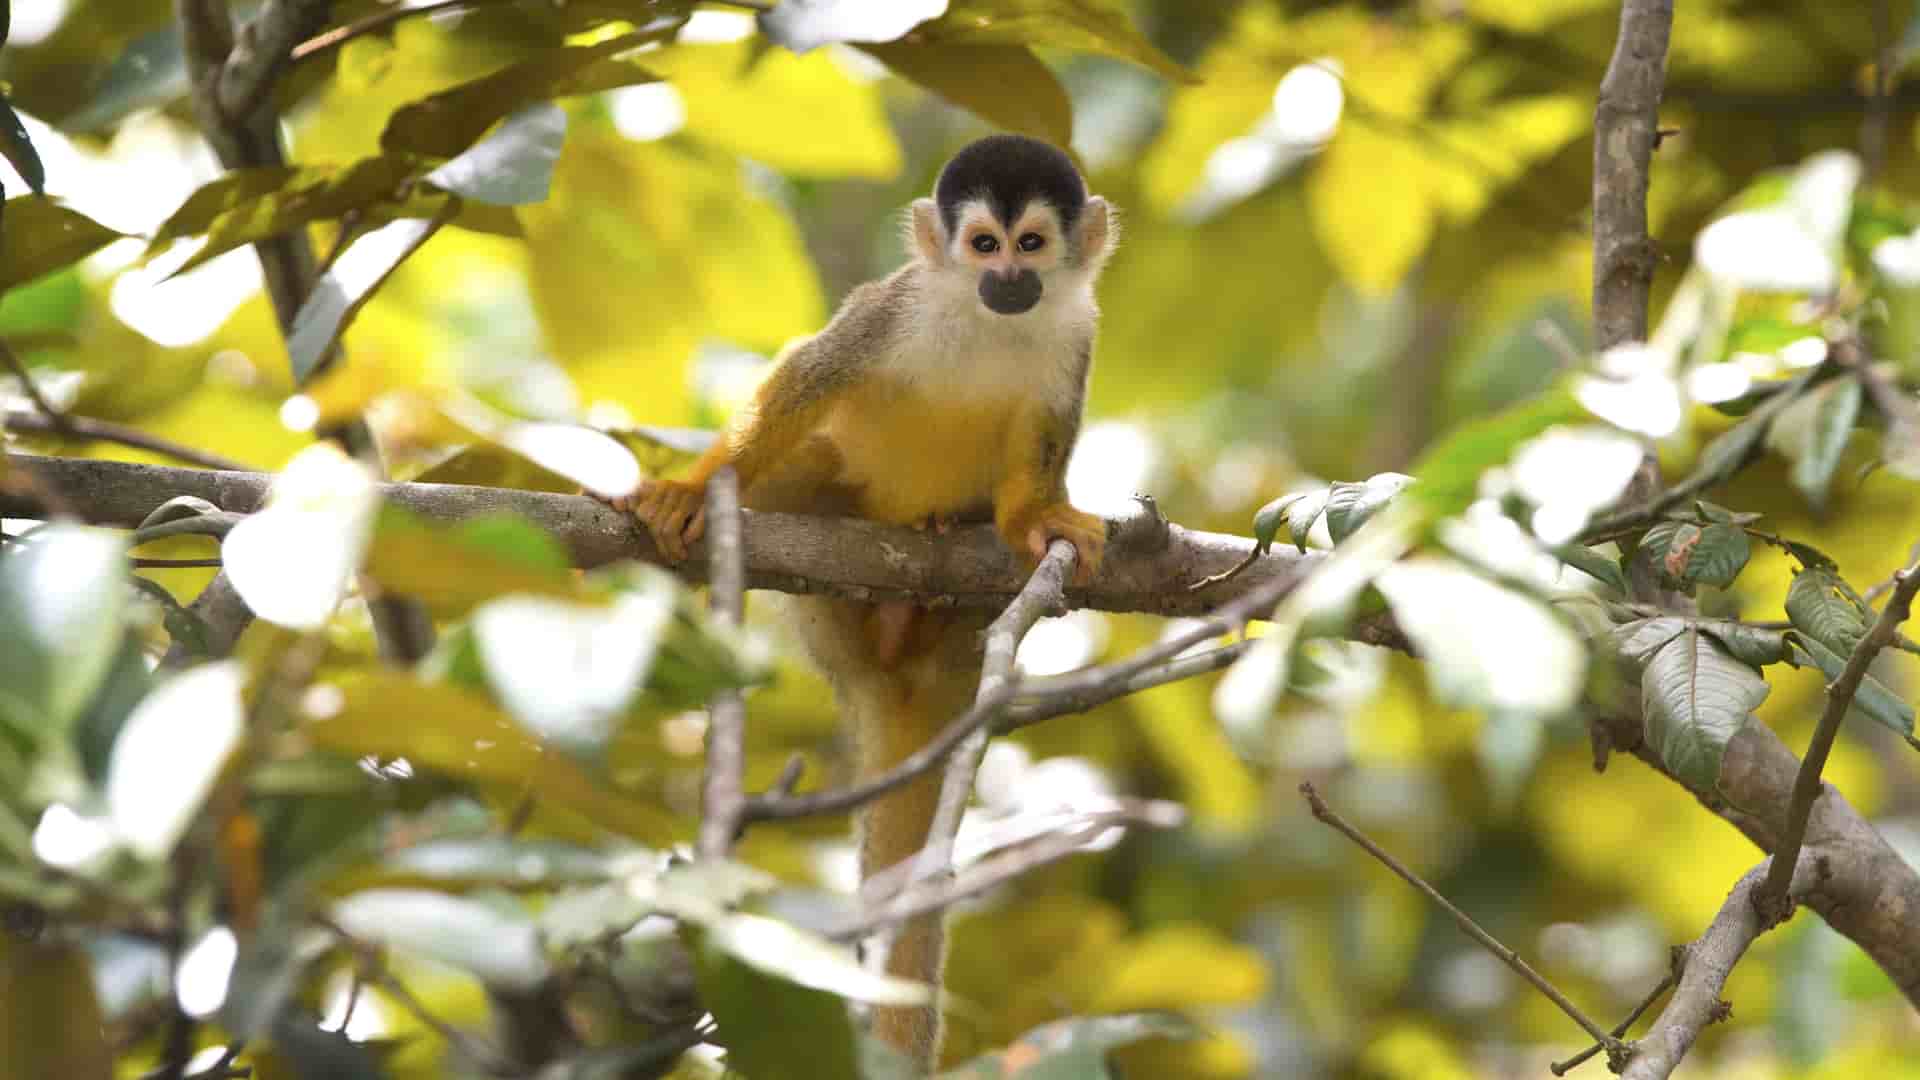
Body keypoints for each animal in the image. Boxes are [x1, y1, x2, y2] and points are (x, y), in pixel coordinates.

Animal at [608, 134, 1116, 1069]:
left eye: (1031, 244)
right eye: (983, 245)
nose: (1009, 280)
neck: (989, 322)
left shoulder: (1076, 335)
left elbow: (1043, 445)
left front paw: (1036, 521)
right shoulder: (896, 308)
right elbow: (810, 375)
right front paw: (690, 488)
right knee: (808, 458)